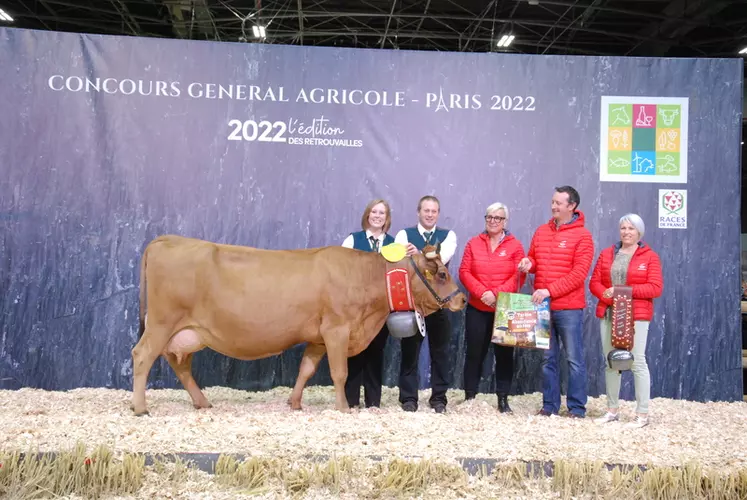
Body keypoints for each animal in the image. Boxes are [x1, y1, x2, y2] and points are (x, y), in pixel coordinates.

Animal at [131, 234, 464, 414]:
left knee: (179, 364)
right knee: (142, 356)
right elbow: (340, 373)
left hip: (186, 332)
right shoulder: (336, 330)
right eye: (442, 274)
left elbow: (306, 369)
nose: (461, 299)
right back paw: (141, 408)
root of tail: (167, 239)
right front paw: (343, 407)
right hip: (161, 323)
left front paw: (294, 403)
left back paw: (202, 402)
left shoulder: (317, 337)